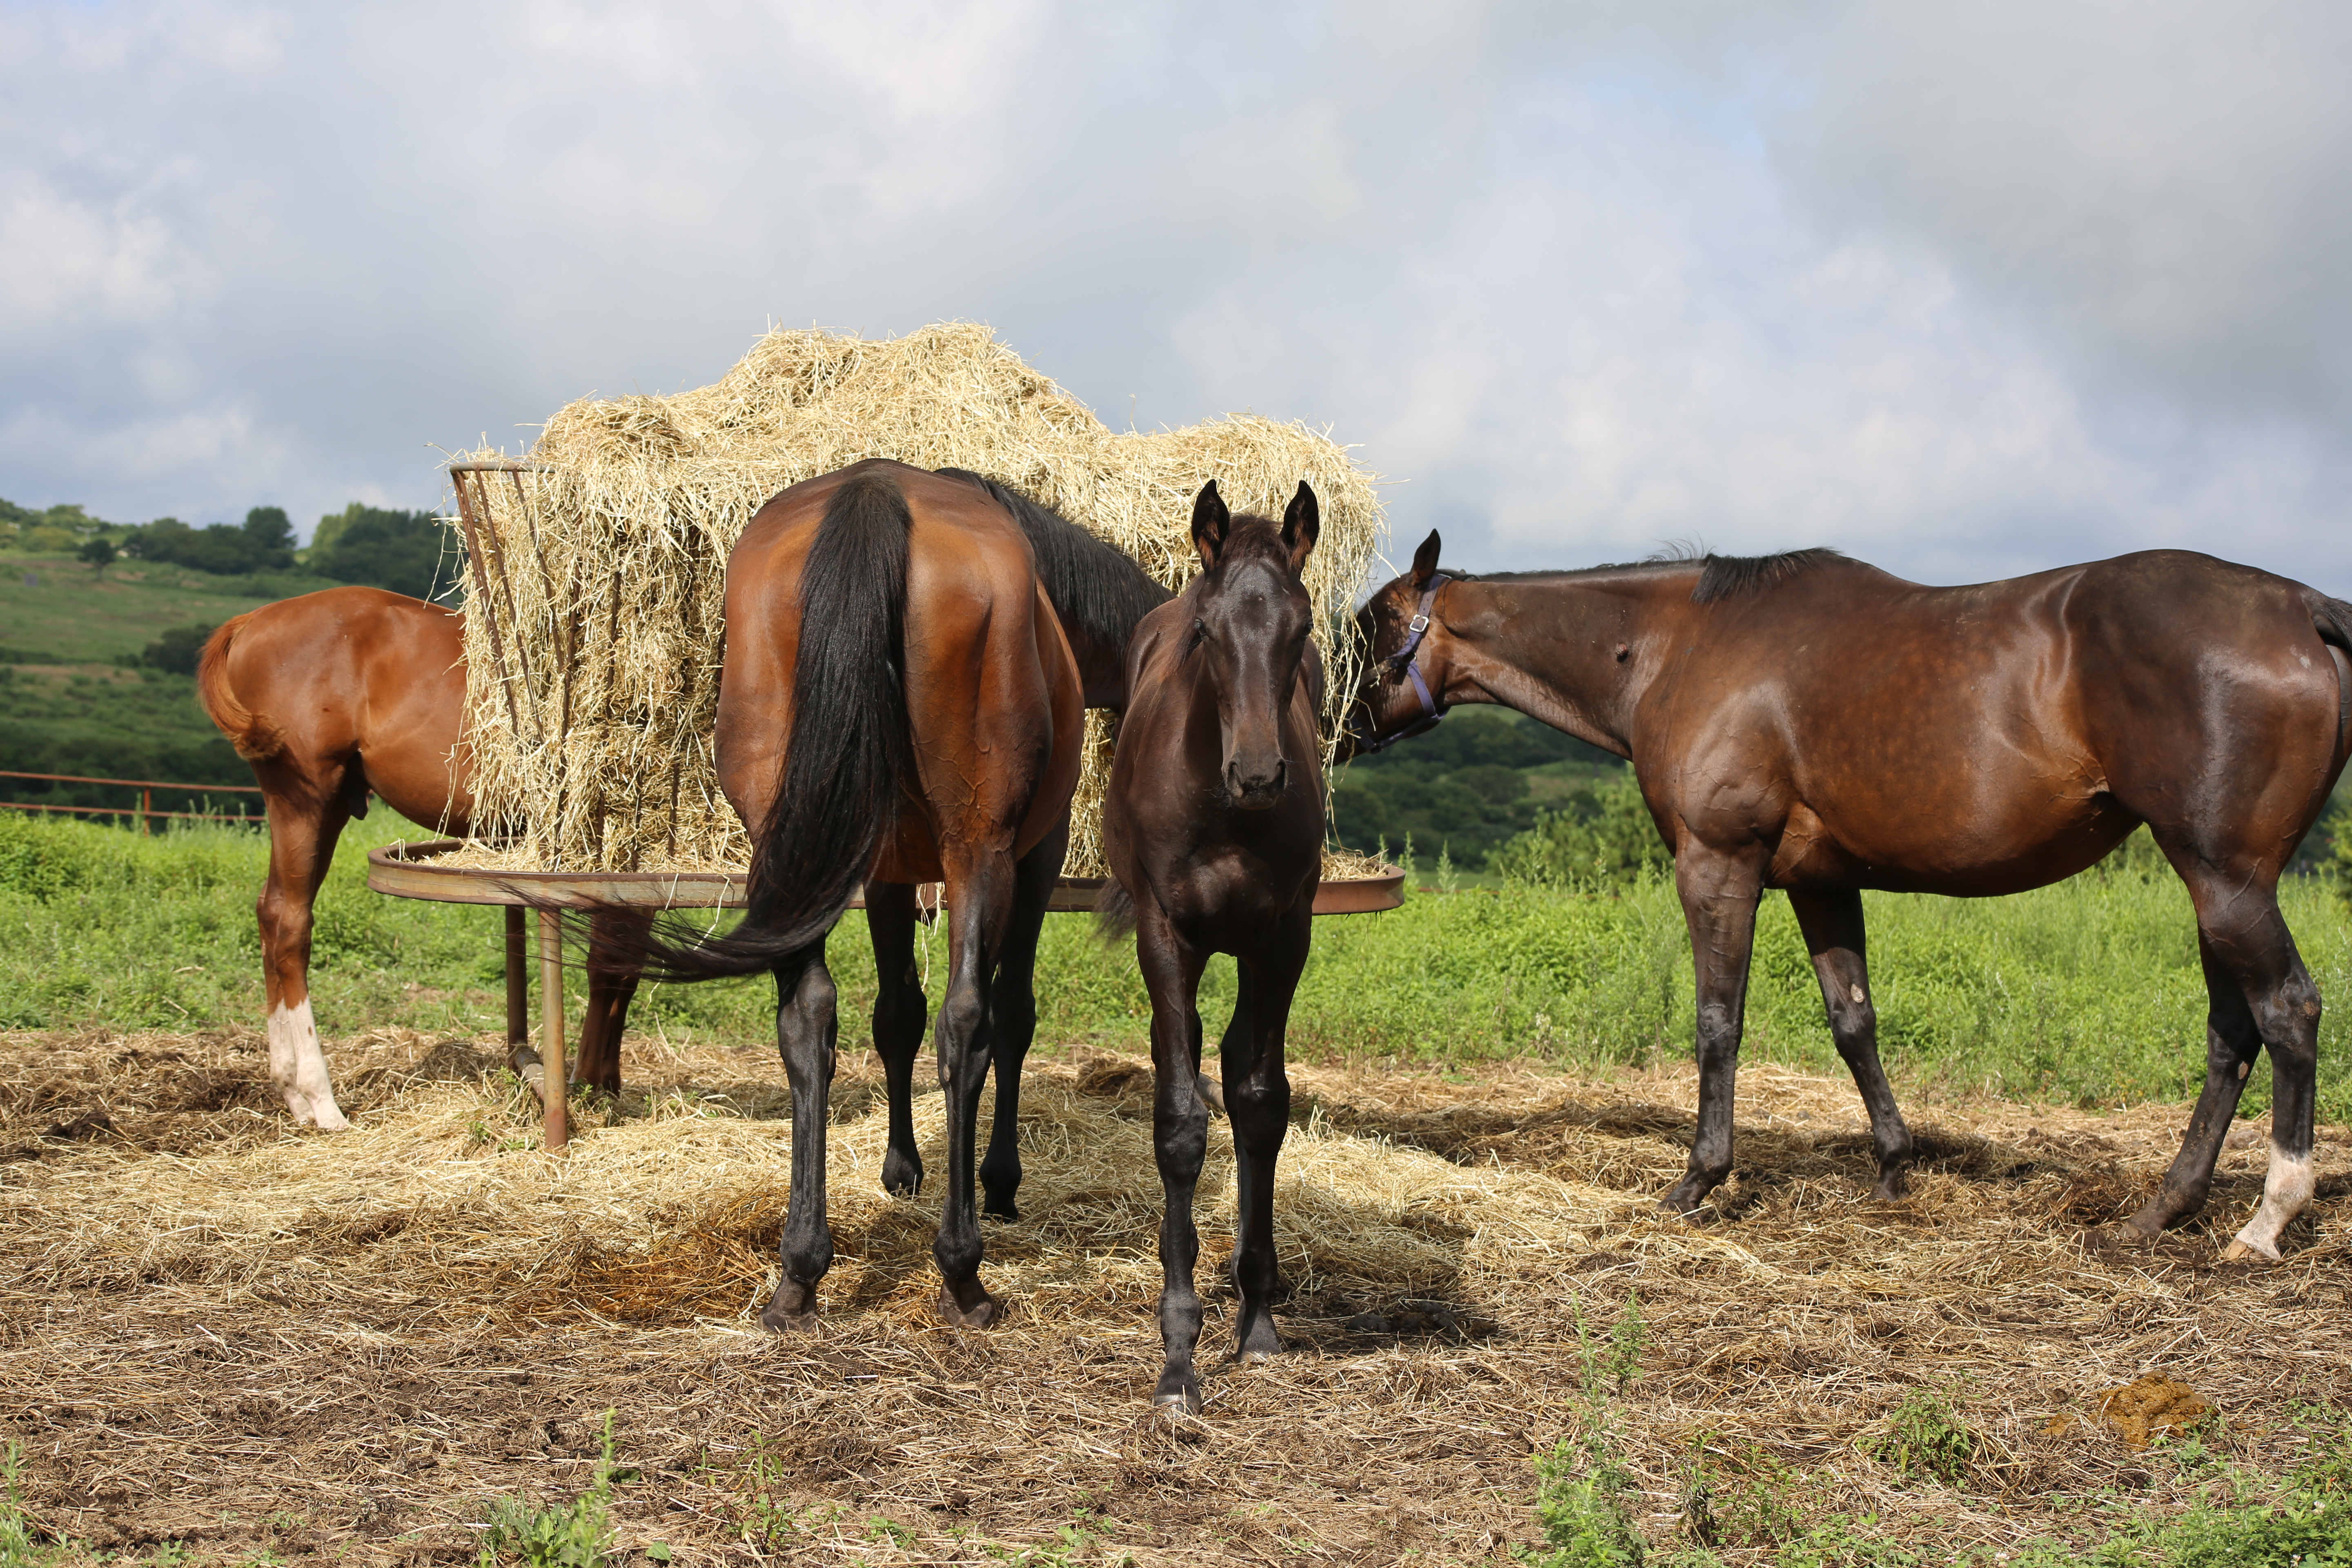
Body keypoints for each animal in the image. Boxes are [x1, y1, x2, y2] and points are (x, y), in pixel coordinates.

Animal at [193, 583, 649, 1123]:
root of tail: (251, 622)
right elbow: (610, 969)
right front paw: (590, 1083)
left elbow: (623, 973)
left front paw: (605, 1083)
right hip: (303, 803)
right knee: (289, 926)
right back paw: (322, 1101)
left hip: (324, 810)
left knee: (271, 913)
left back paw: (293, 1093)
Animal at [581, 461, 1166, 1335]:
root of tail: (876, 492)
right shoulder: (1034, 856)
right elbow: (1008, 1014)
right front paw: (996, 1180)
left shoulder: (886, 868)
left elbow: (894, 1014)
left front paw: (900, 1169)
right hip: (979, 852)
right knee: (969, 1021)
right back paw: (963, 1273)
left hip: (790, 849)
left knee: (808, 1017)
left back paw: (800, 1271)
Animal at [1345, 541, 2352, 1260]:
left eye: (1369, 628)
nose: (1333, 731)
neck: (1675, 648)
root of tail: (2305, 609)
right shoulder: (1823, 882)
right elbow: (1854, 1020)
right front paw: (1895, 1169)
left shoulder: (1719, 866)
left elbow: (1719, 1023)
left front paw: (1699, 1181)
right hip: (2215, 885)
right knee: (2232, 1033)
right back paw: (2159, 1213)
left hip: (2226, 878)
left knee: (2286, 1012)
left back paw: (2266, 1220)